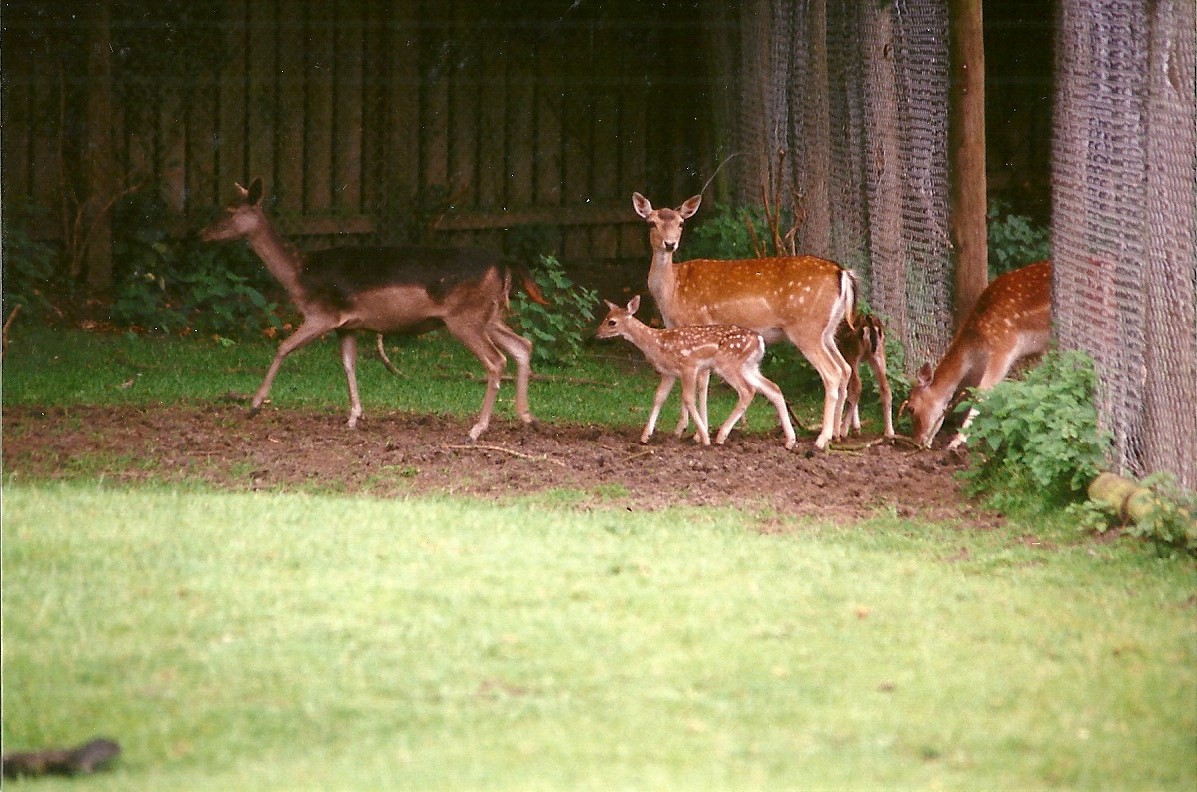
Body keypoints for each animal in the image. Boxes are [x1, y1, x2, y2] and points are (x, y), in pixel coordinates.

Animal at [199, 178, 548, 442]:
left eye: (229, 210)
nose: (201, 233)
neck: (300, 276)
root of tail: (504, 263)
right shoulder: (347, 325)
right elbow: (348, 364)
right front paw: (354, 417)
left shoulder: (322, 314)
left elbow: (283, 347)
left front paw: (254, 405)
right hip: (490, 315)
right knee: (523, 345)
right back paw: (528, 418)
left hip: (466, 317)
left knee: (496, 360)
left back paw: (477, 429)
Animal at [595, 295, 797, 449]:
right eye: (606, 316)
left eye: (612, 322)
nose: (597, 333)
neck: (658, 344)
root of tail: (760, 341)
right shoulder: (669, 373)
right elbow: (659, 397)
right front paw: (645, 436)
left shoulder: (689, 366)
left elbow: (688, 399)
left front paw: (704, 437)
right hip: (750, 366)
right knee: (773, 388)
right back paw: (790, 440)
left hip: (729, 363)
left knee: (747, 391)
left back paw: (720, 436)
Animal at [632, 192, 855, 449]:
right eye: (652, 223)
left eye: (680, 223)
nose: (670, 244)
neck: (671, 291)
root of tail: (842, 274)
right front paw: (682, 429)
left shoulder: (698, 324)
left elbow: (701, 384)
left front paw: (698, 433)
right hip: (828, 330)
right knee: (845, 368)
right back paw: (837, 434)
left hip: (806, 329)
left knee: (832, 373)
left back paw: (821, 438)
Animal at [899, 260, 1052, 448]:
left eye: (911, 408)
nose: (918, 441)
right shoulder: (1037, 350)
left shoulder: (1004, 347)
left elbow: (981, 394)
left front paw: (956, 441)